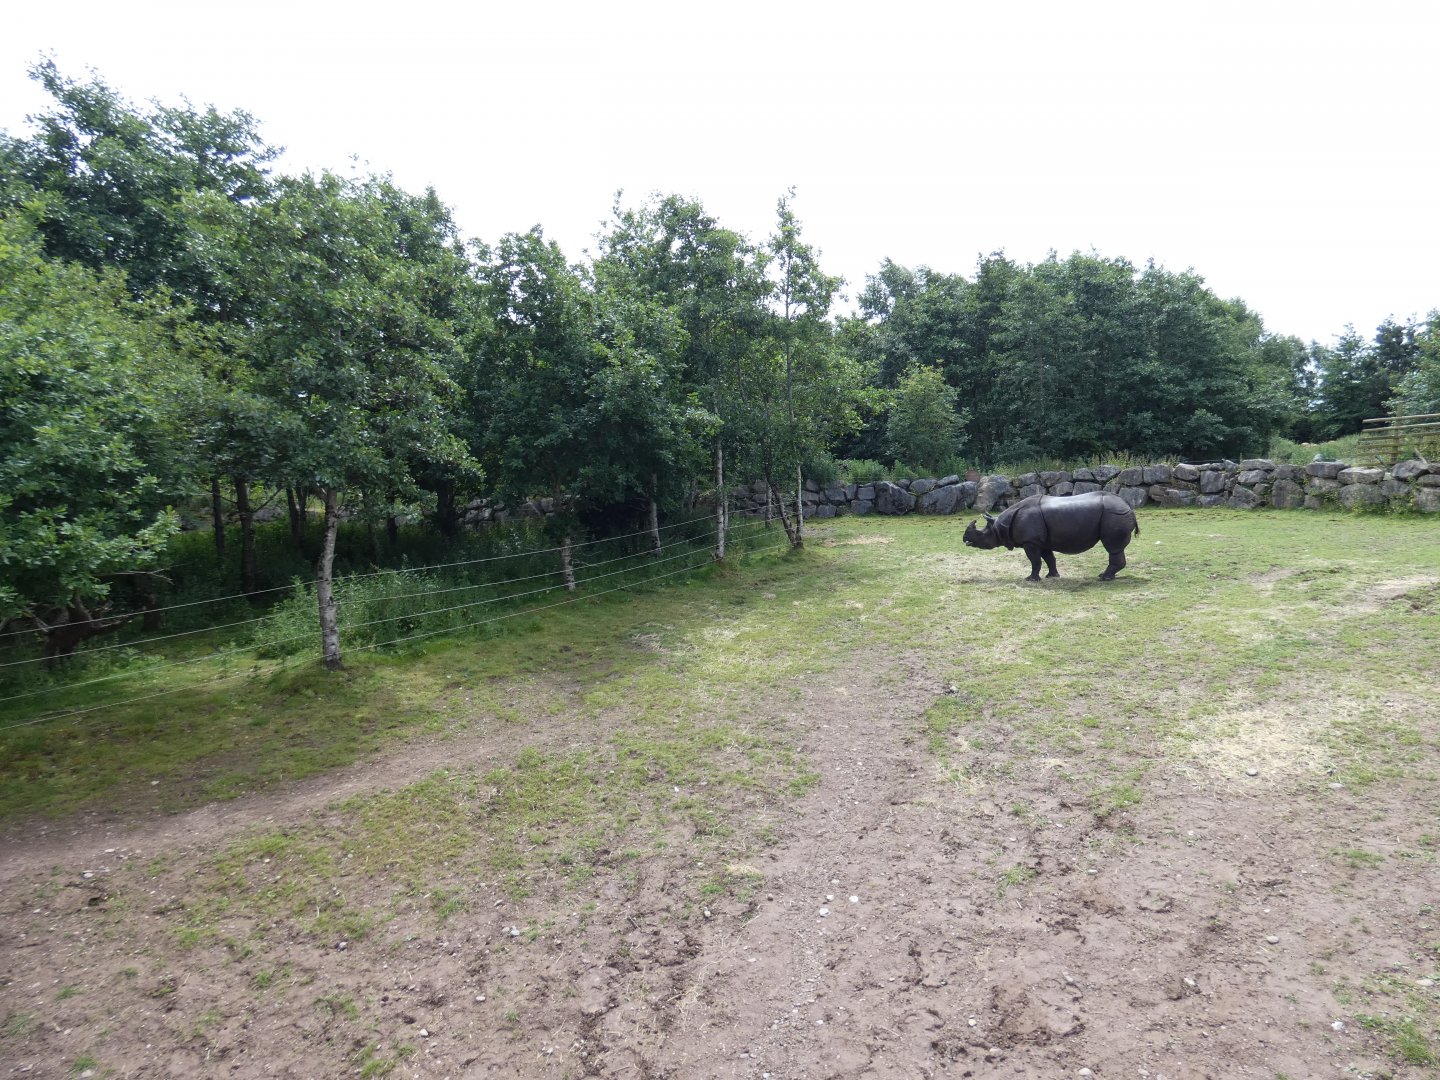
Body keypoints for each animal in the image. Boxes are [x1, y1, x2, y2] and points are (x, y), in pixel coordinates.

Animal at [962, 491, 1139, 580]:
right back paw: (1105, 576)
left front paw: (1030, 579)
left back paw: (1104, 578)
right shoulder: (1041, 541)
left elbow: (1035, 561)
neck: (1000, 526)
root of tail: (1128, 506)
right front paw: (1052, 576)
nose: (965, 539)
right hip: (1115, 514)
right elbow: (1049, 558)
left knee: (1113, 548)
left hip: (1114, 514)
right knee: (1115, 549)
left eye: (981, 534)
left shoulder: (1030, 541)